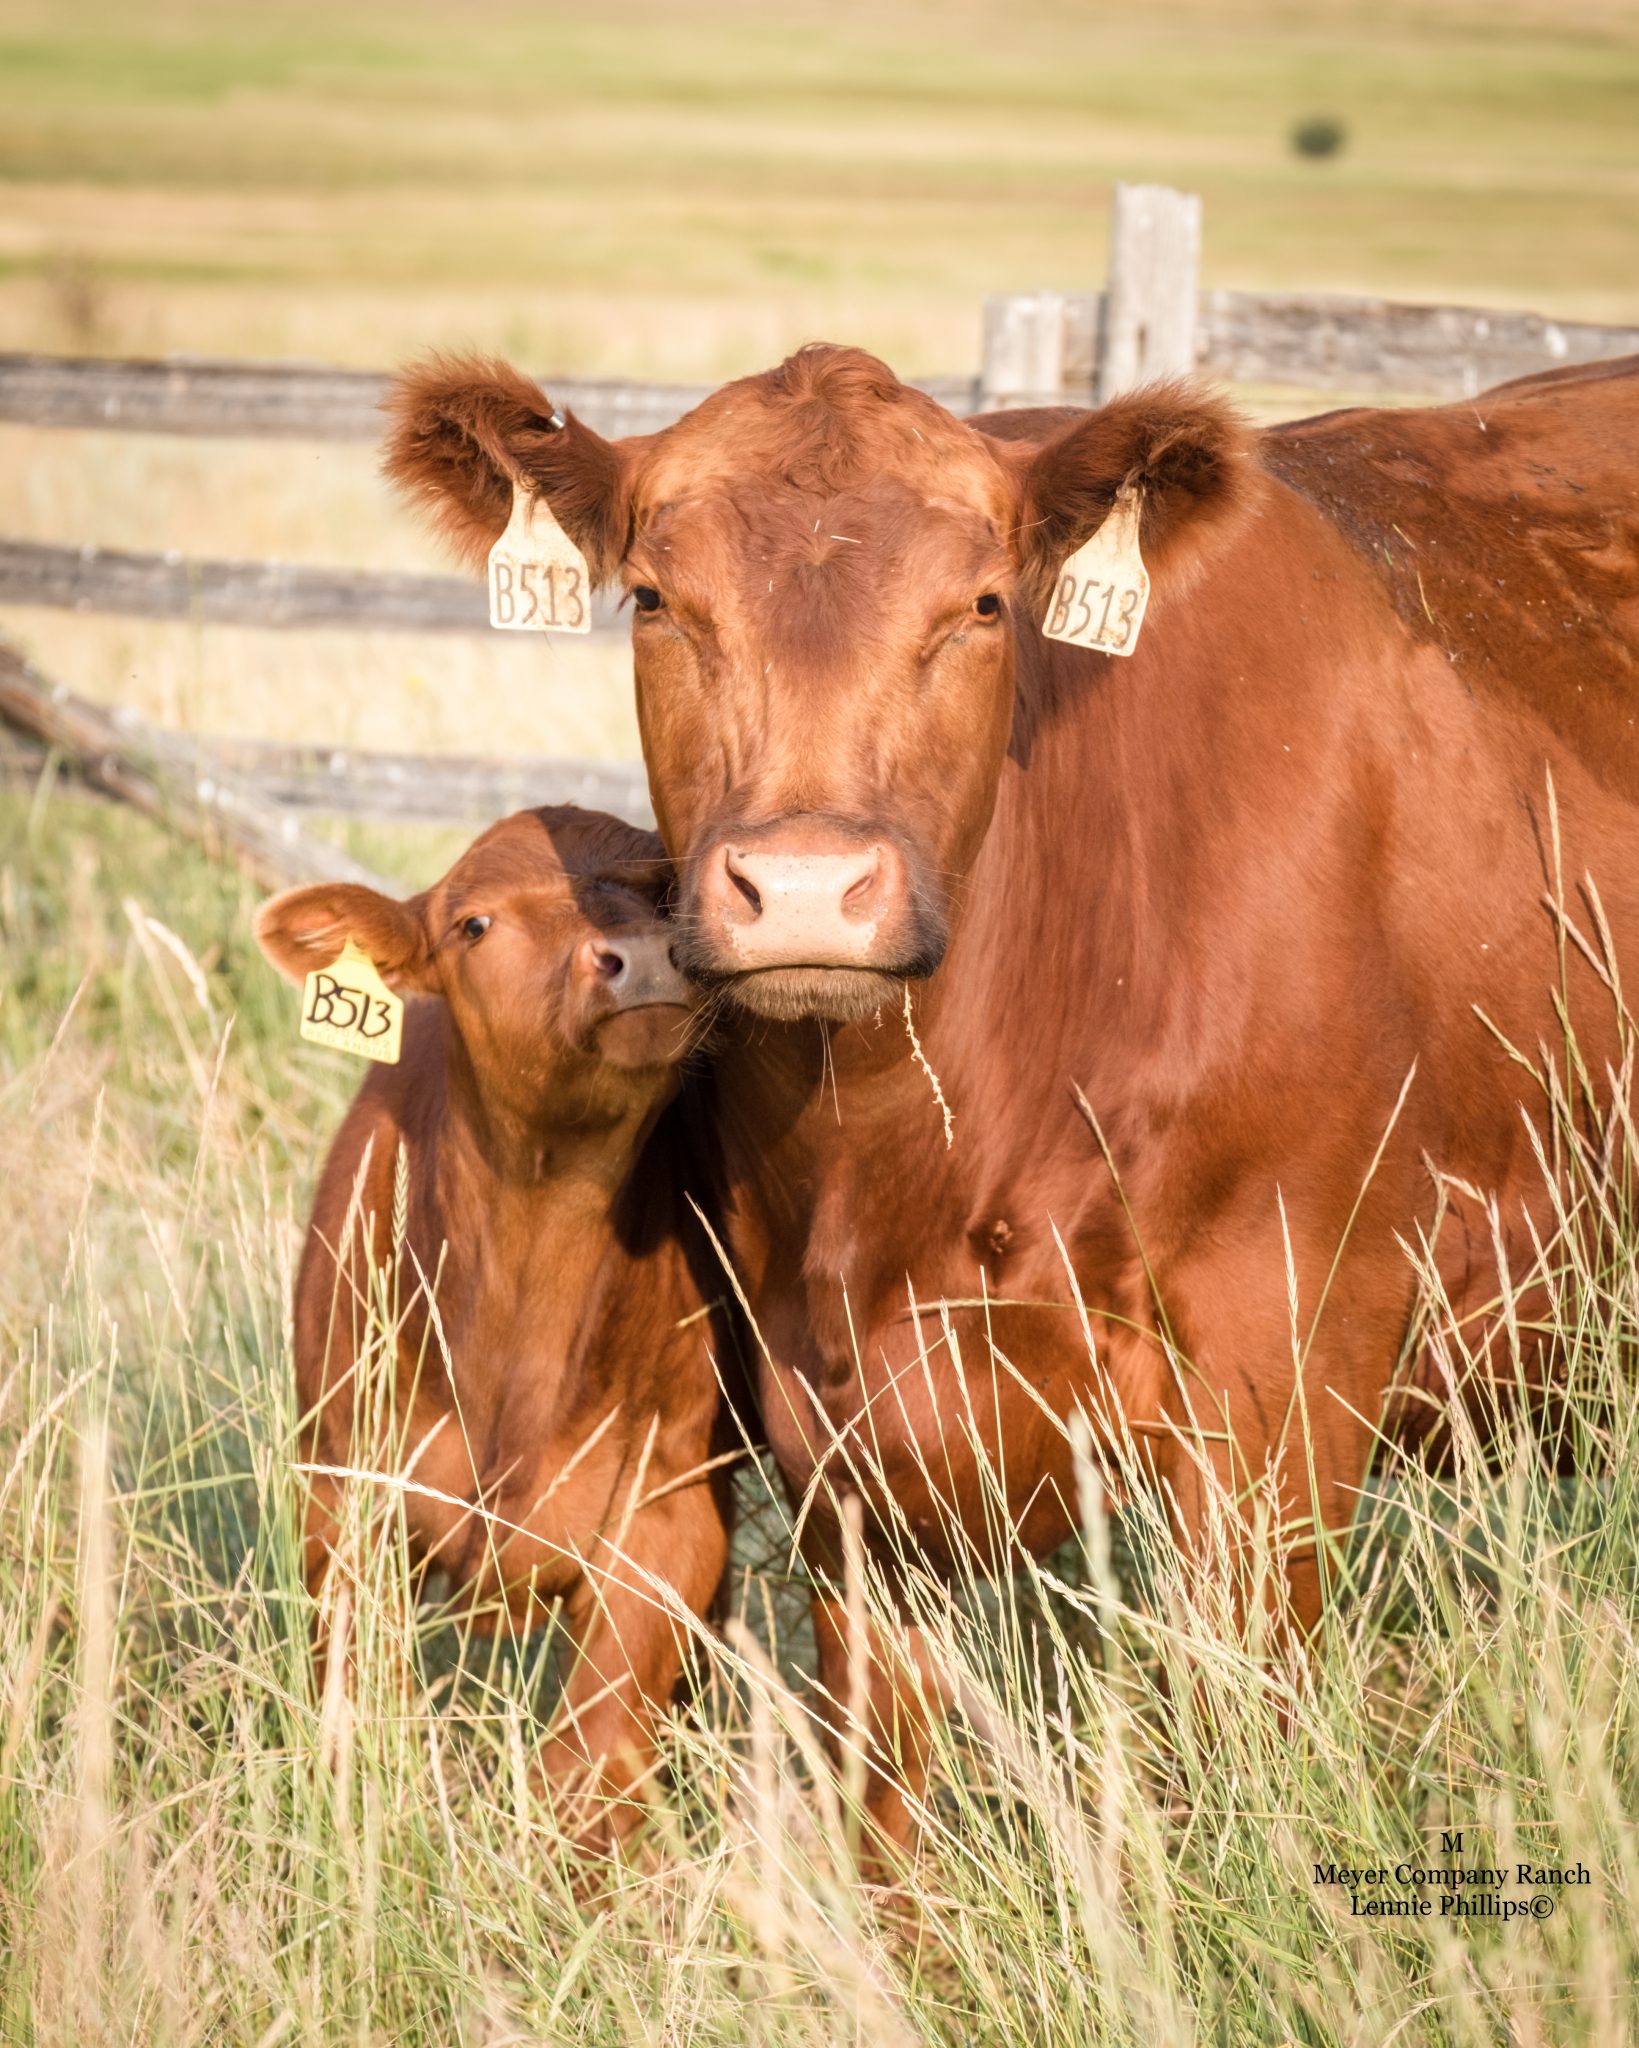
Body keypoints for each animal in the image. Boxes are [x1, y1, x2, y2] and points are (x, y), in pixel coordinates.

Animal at [258, 806, 729, 1851]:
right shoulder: (343, 1492)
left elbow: (589, 1763)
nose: (643, 956)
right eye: (474, 923)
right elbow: (358, 1714)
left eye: (662, 888)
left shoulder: (669, 1517)